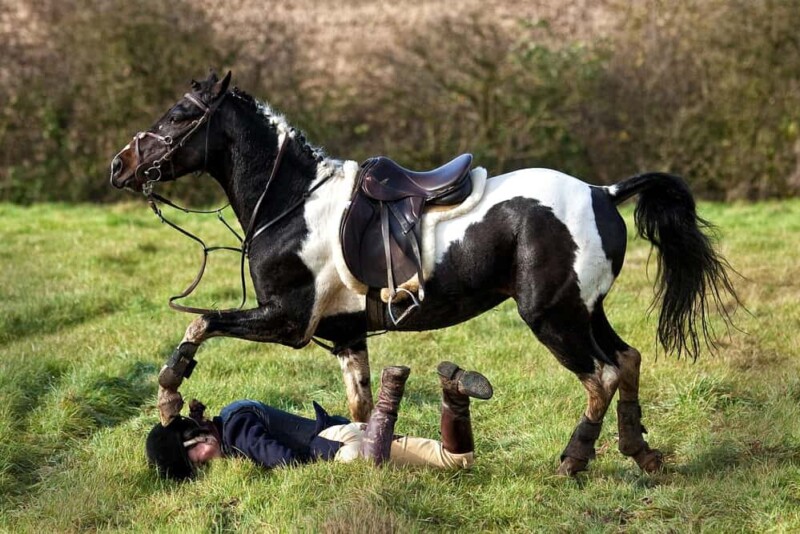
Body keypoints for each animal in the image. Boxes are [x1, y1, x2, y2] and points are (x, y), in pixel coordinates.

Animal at [110, 71, 738, 475]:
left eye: (181, 115)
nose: (120, 164)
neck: (290, 203)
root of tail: (603, 192)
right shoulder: (345, 334)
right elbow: (361, 409)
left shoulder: (286, 321)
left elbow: (199, 325)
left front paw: (168, 398)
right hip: (586, 310)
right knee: (627, 360)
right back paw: (642, 455)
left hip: (552, 317)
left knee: (600, 377)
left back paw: (573, 462)